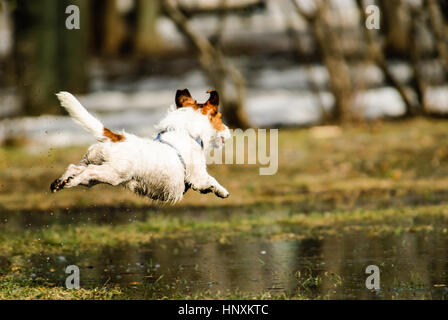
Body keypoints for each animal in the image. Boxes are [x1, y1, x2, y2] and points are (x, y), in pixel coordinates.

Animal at [50, 89, 231, 202]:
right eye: (221, 117)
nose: (229, 133)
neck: (185, 131)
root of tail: (117, 138)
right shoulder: (199, 177)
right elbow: (211, 180)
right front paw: (222, 191)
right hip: (112, 174)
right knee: (89, 171)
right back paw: (69, 181)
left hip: (92, 170)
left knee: (75, 169)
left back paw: (62, 182)